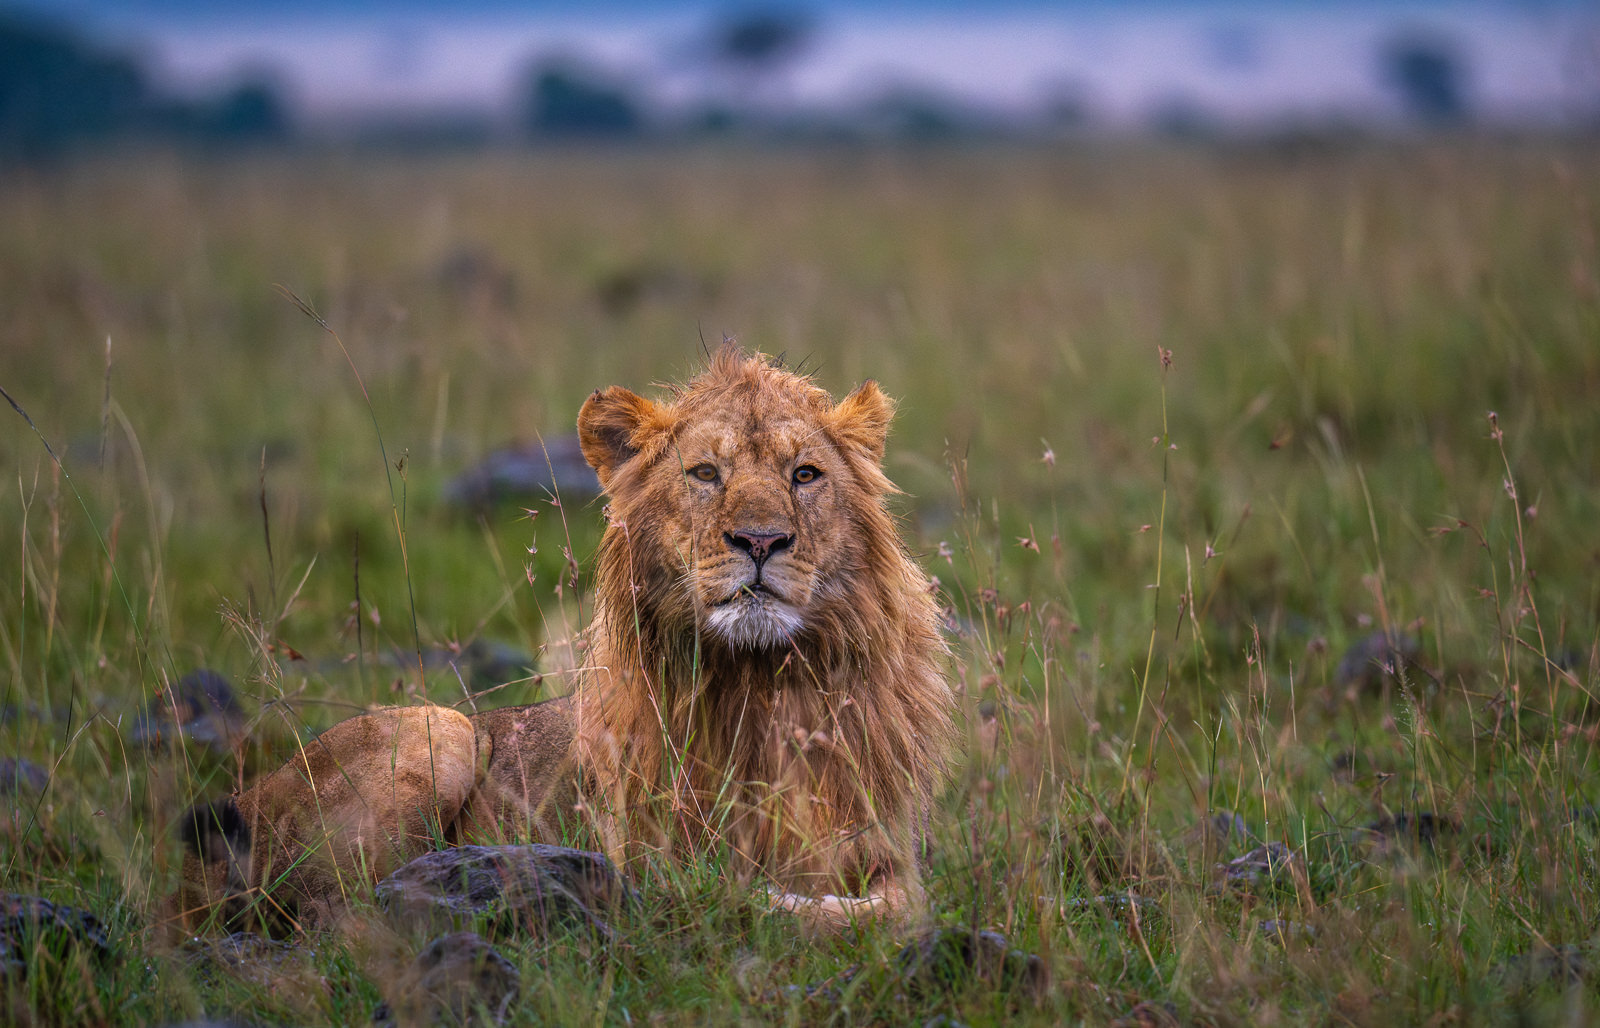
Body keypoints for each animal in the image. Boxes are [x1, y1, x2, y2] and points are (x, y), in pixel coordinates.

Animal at [170, 346, 955, 937]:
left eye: (805, 474)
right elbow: (720, 890)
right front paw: (750, 899)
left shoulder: (887, 849)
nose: (761, 541)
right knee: (343, 910)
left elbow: (899, 908)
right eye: (705, 473)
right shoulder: (646, 846)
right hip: (442, 732)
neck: (762, 684)